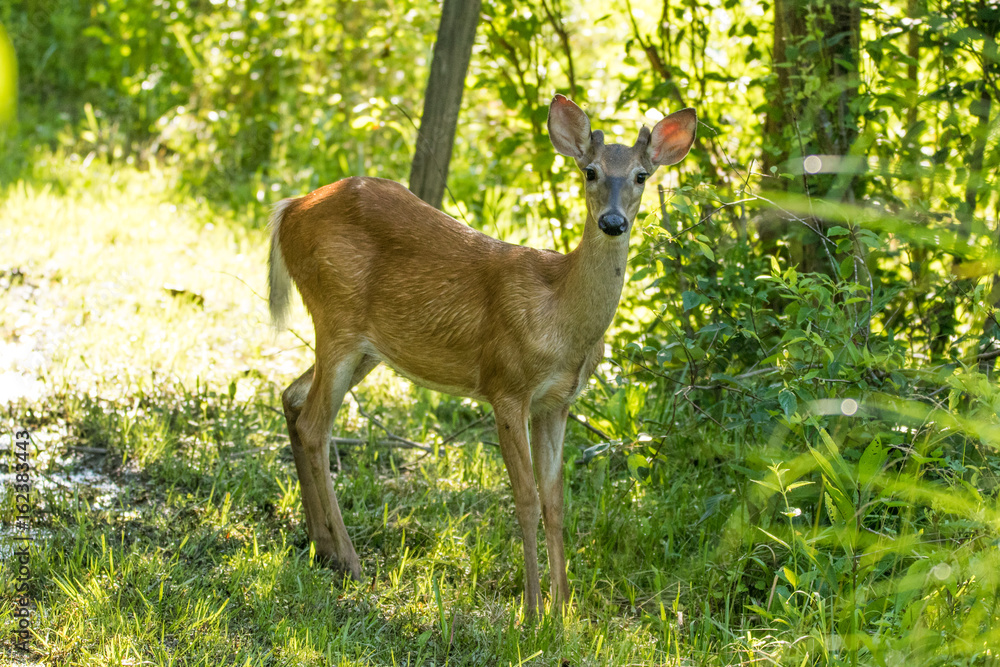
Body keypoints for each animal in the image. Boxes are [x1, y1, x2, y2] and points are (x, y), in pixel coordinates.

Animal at [270, 95, 700, 616]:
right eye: (591, 171)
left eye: (641, 175)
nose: (613, 222)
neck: (560, 317)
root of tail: (289, 208)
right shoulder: (506, 384)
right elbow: (526, 499)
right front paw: (532, 610)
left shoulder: (557, 402)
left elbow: (556, 501)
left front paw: (564, 609)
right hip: (336, 317)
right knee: (316, 424)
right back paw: (350, 560)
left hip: (366, 346)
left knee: (292, 398)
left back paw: (322, 547)